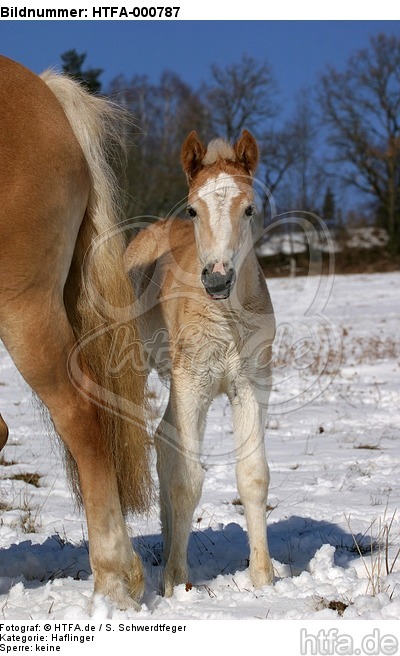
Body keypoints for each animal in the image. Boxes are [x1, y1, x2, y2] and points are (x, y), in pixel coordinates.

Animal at [125, 129, 276, 596]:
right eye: (193, 209)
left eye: (250, 208)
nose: (218, 278)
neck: (226, 317)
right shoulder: (192, 384)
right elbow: (188, 477)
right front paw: (176, 582)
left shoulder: (249, 385)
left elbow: (253, 476)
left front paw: (263, 578)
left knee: (164, 439)